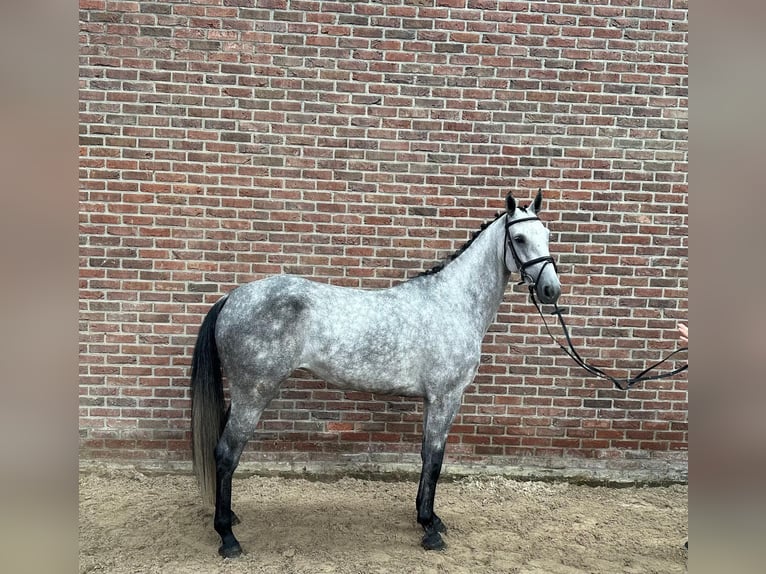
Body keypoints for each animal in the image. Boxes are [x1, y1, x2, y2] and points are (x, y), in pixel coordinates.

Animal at [190, 190, 561, 557]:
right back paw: (227, 538)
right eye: (519, 238)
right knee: (226, 453)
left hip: (242, 394)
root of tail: (232, 298)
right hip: (254, 392)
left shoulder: (433, 400)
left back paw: (231, 517)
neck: (452, 303)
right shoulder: (446, 397)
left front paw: (429, 518)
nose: (551, 291)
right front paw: (430, 530)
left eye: (547, 235)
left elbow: (426, 455)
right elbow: (435, 459)